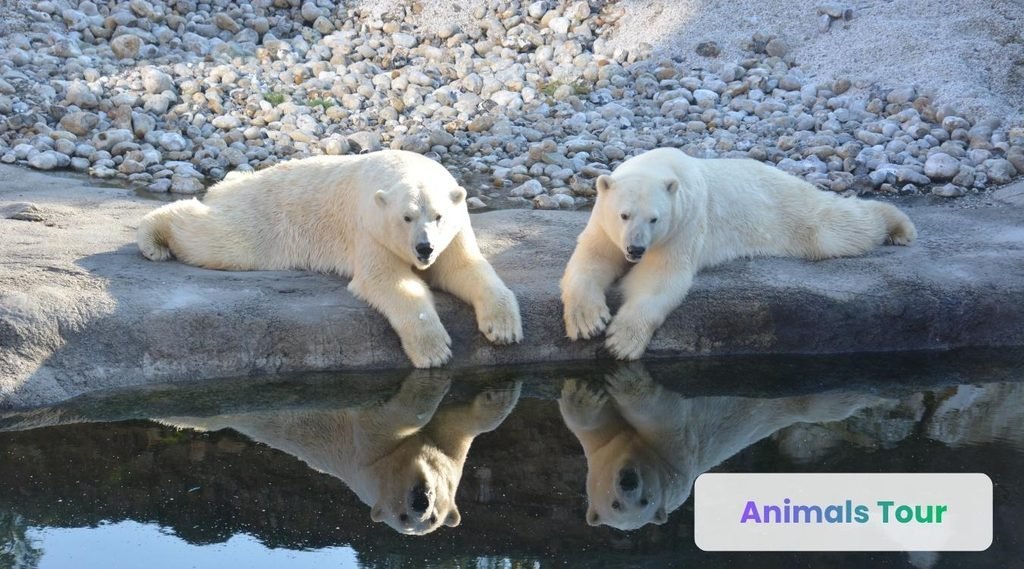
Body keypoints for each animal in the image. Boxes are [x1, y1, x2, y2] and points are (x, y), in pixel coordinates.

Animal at [137, 150, 522, 368]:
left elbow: (464, 268)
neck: (406, 168)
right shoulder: (370, 227)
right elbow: (387, 280)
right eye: (406, 217)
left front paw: (503, 329)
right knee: (219, 239)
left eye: (439, 216)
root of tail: (229, 184)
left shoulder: (455, 232)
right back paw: (153, 237)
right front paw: (434, 350)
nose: (424, 248)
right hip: (264, 217)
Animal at [162, 370, 521, 535]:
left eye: (433, 517)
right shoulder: (368, 456)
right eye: (402, 516)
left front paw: (499, 394)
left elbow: (460, 427)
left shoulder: (448, 453)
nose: (420, 502)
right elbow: (390, 417)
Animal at [558, 364, 889, 530]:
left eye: (645, 501)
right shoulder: (602, 448)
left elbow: (663, 415)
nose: (628, 480)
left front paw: (626, 380)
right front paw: (583, 391)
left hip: (800, 401)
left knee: (831, 402)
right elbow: (592, 421)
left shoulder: (675, 456)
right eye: (615, 505)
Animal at [561, 147, 917, 360]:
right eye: (623, 215)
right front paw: (588, 321)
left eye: (654, 219)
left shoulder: (685, 223)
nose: (635, 248)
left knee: (835, 228)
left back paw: (898, 226)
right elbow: (592, 259)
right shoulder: (604, 223)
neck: (661, 167)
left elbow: (660, 277)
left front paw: (621, 341)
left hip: (790, 210)